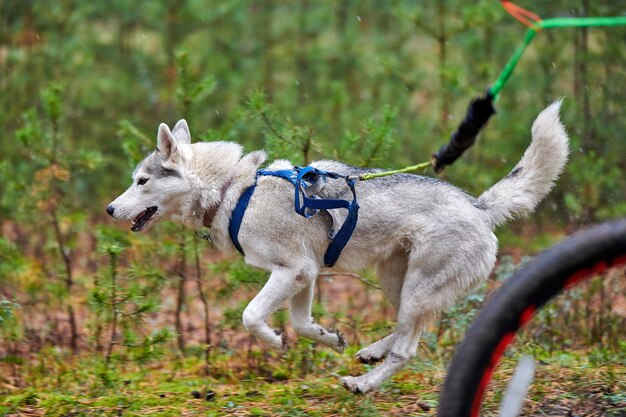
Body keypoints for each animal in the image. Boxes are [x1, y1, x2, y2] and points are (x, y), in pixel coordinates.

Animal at [106, 101, 564, 394]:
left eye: (141, 181)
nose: (110, 209)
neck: (233, 191)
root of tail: (479, 207)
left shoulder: (292, 270)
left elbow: (251, 316)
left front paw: (273, 342)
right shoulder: (305, 275)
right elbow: (302, 323)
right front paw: (329, 338)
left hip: (416, 286)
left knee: (407, 349)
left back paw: (362, 384)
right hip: (396, 280)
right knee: (409, 331)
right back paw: (370, 353)